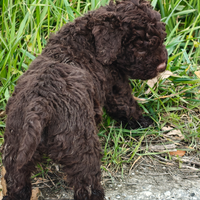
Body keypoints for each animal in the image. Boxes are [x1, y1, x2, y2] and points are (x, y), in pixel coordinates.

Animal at [2, 0, 167, 199]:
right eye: (141, 48)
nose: (163, 65)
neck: (88, 38)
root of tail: (40, 107)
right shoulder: (115, 84)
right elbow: (126, 105)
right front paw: (143, 122)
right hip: (81, 144)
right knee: (86, 180)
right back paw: (96, 193)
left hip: (16, 144)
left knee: (17, 179)